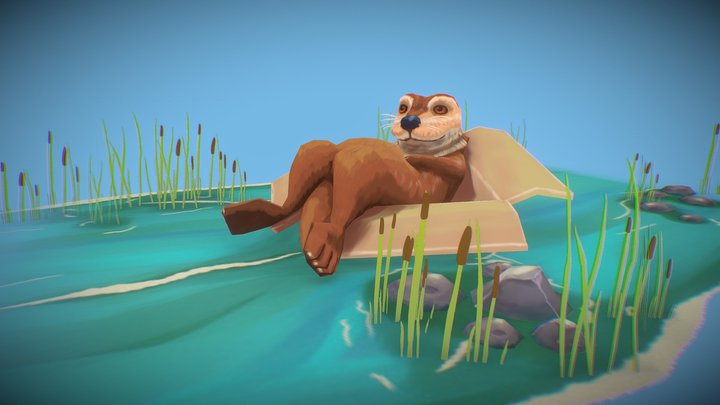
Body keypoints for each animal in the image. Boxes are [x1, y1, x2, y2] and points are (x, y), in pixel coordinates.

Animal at [222, 93, 468, 276]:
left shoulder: (454, 163)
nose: (409, 121)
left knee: (356, 162)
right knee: (317, 171)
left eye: (440, 109)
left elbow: (452, 165)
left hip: (397, 183)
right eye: (403, 108)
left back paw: (323, 247)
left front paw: (416, 156)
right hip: (321, 172)